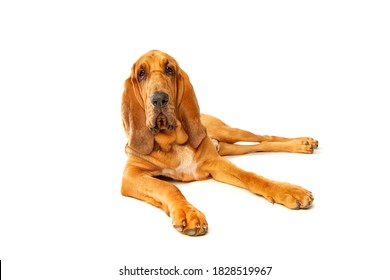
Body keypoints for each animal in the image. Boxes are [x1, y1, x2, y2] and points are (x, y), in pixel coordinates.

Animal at [121, 49, 316, 235]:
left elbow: (250, 176)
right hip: (227, 148)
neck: (172, 141)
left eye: (169, 69)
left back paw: (303, 143)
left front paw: (287, 191)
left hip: (230, 133)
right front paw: (188, 213)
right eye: (141, 73)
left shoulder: (215, 162)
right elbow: (168, 187)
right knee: (258, 146)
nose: (159, 98)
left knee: (266, 138)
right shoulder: (131, 175)